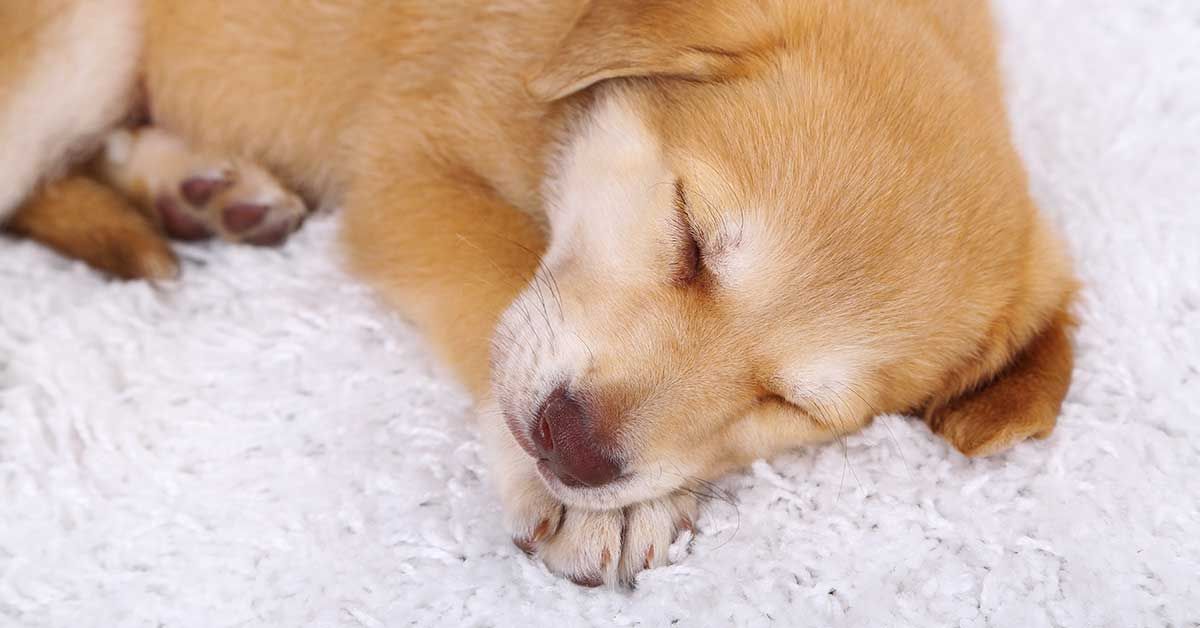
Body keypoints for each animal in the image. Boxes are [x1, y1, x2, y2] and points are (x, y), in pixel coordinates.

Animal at [2, 1, 1080, 590]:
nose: (576, 452)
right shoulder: (410, 171)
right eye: (690, 236)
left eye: (793, 404)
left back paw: (190, 185)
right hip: (78, 45)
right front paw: (582, 504)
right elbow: (500, 271)